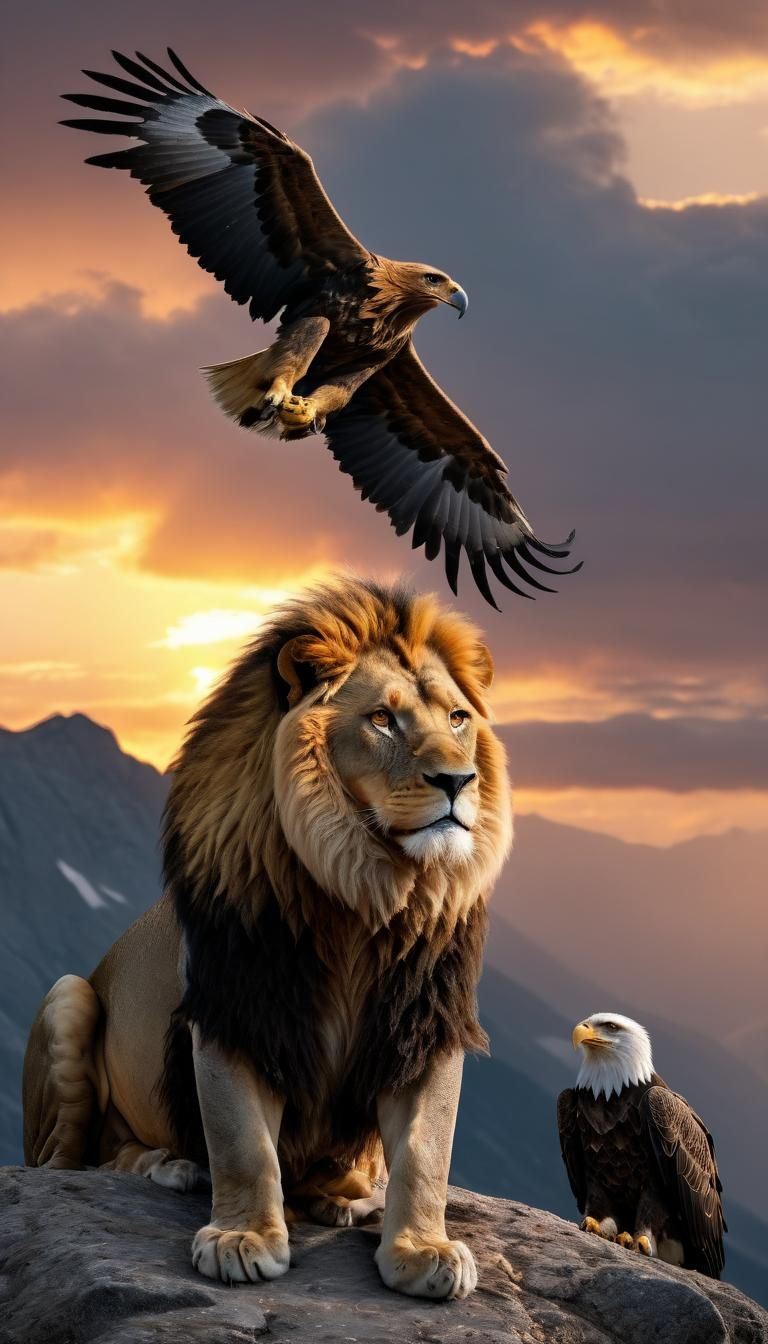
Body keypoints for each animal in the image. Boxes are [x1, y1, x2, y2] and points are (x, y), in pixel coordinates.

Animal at [23, 576, 512, 1300]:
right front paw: (242, 1239)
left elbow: (427, 1152)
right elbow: (244, 1144)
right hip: (68, 999)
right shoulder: (238, 1007)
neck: (363, 890)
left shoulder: (423, 1020)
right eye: (381, 720)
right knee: (76, 1162)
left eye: (457, 719)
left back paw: (342, 1192)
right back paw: (171, 1166)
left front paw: (422, 1249)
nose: (457, 781)